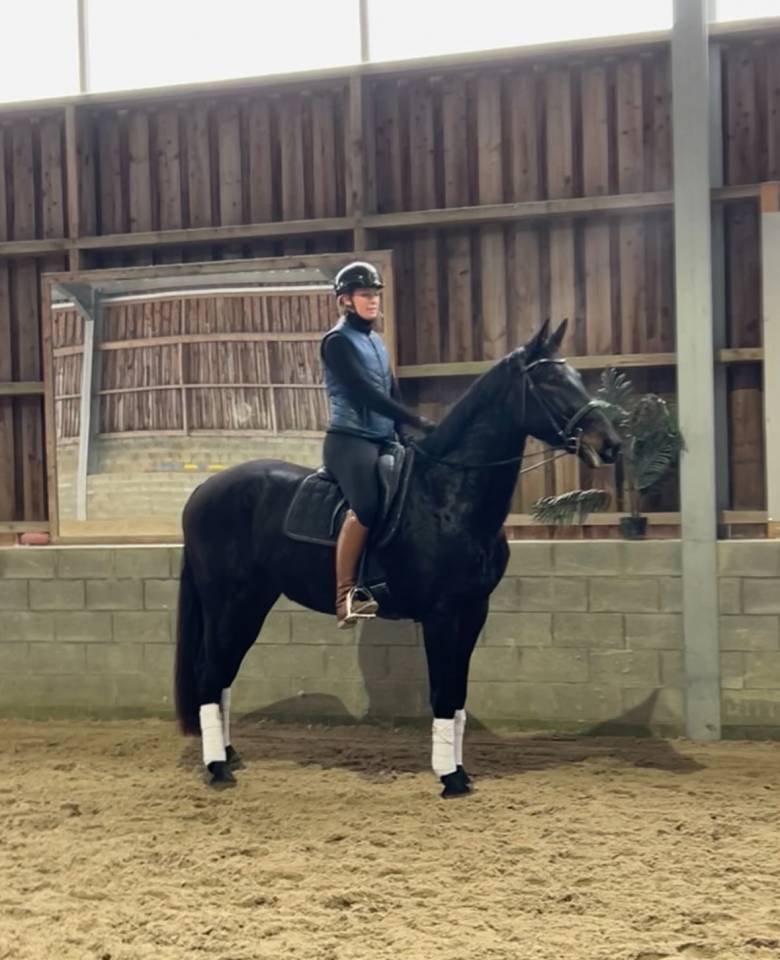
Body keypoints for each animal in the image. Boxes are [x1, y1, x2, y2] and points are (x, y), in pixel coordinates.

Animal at [174, 319, 621, 798]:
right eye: (551, 380)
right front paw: (450, 777)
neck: (449, 494)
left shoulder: (473, 610)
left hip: (252, 601)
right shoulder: (442, 614)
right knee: (210, 673)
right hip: (228, 601)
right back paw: (218, 768)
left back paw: (229, 755)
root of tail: (202, 492)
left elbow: (458, 693)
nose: (611, 444)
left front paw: (459, 770)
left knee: (222, 673)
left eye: (575, 377)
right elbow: (443, 693)